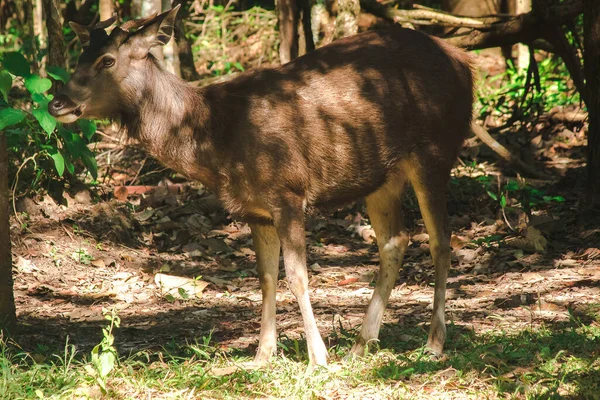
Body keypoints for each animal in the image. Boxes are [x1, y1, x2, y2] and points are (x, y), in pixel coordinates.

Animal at [48, 6, 474, 368]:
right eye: (79, 58)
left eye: (107, 60)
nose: (57, 102)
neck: (218, 137)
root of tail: (465, 63)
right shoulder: (255, 209)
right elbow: (266, 278)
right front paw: (262, 355)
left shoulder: (289, 192)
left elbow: (298, 276)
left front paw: (318, 357)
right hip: (382, 176)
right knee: (395, 240)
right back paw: (362, 342)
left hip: (435, 151)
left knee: (441, 239)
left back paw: (434, 343)